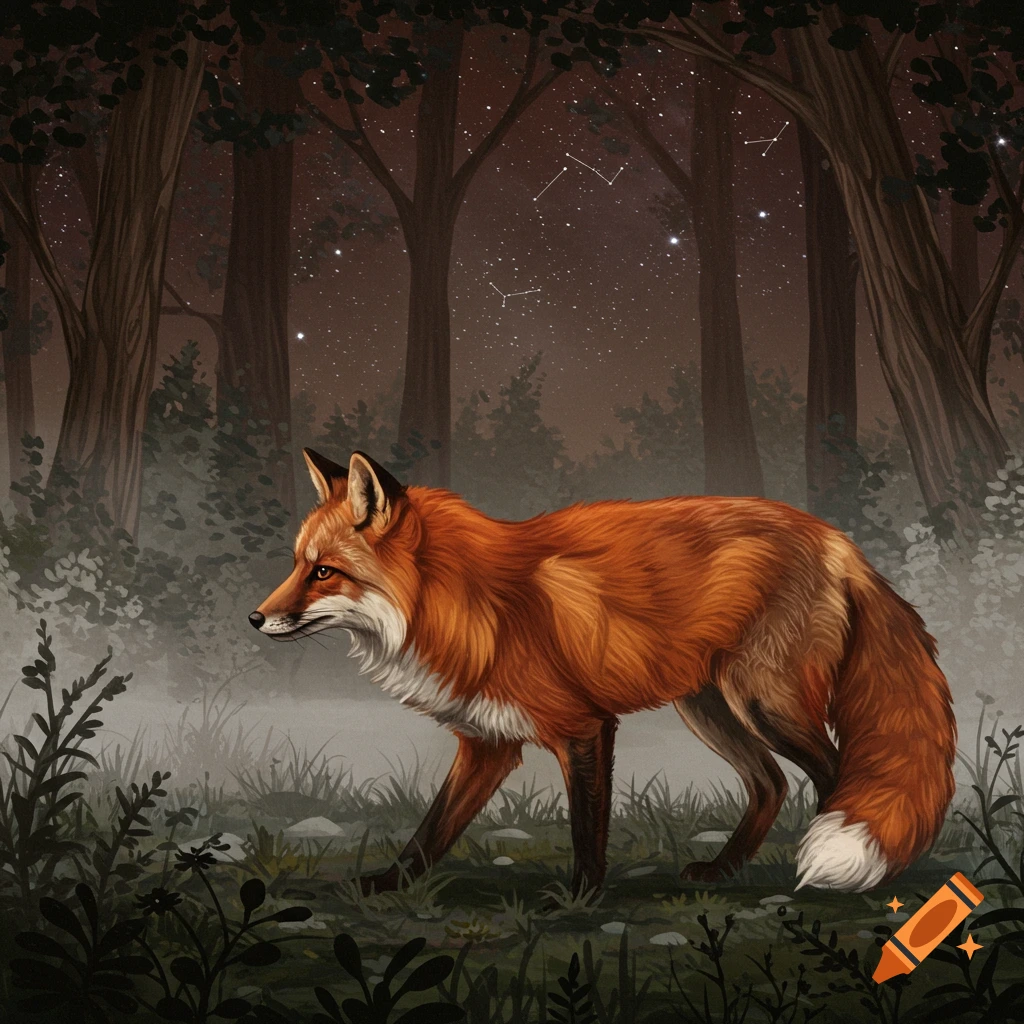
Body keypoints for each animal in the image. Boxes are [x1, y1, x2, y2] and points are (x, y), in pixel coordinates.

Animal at [250, 448, 957, 897]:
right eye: (296, 563)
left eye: (323, 572)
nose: (256, 619)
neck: (469, 602)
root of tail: (837, 539)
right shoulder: (487, 742)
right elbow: (431, 830)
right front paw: (388, 885)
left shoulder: (586, 728)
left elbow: (588, 830)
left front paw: (580, 900)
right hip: (708, 708)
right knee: (771, 784)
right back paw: (722, 871)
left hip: (764, 704)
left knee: (836, 775)